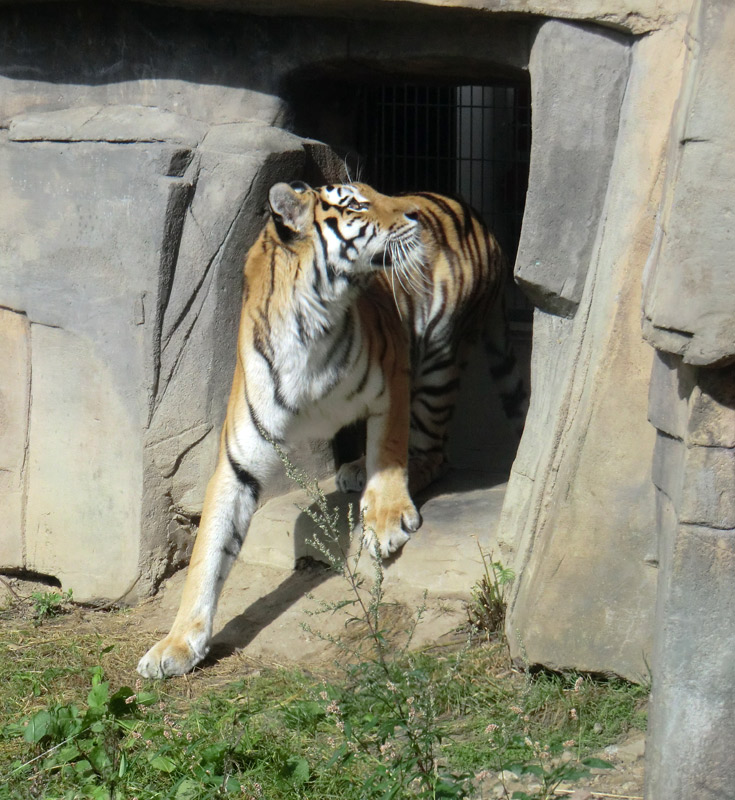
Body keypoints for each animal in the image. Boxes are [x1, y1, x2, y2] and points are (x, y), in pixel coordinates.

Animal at [138, 180, 528, 676]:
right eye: (356, 205)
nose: (413, 216)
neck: (311, 325)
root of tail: (475, 214)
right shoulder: (238, 462)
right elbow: (208, 552)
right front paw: (176, 645)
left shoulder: (393, 374)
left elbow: (390, 451)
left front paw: (385, 520)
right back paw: (354, 468)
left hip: (439, 353)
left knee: (434, 452)